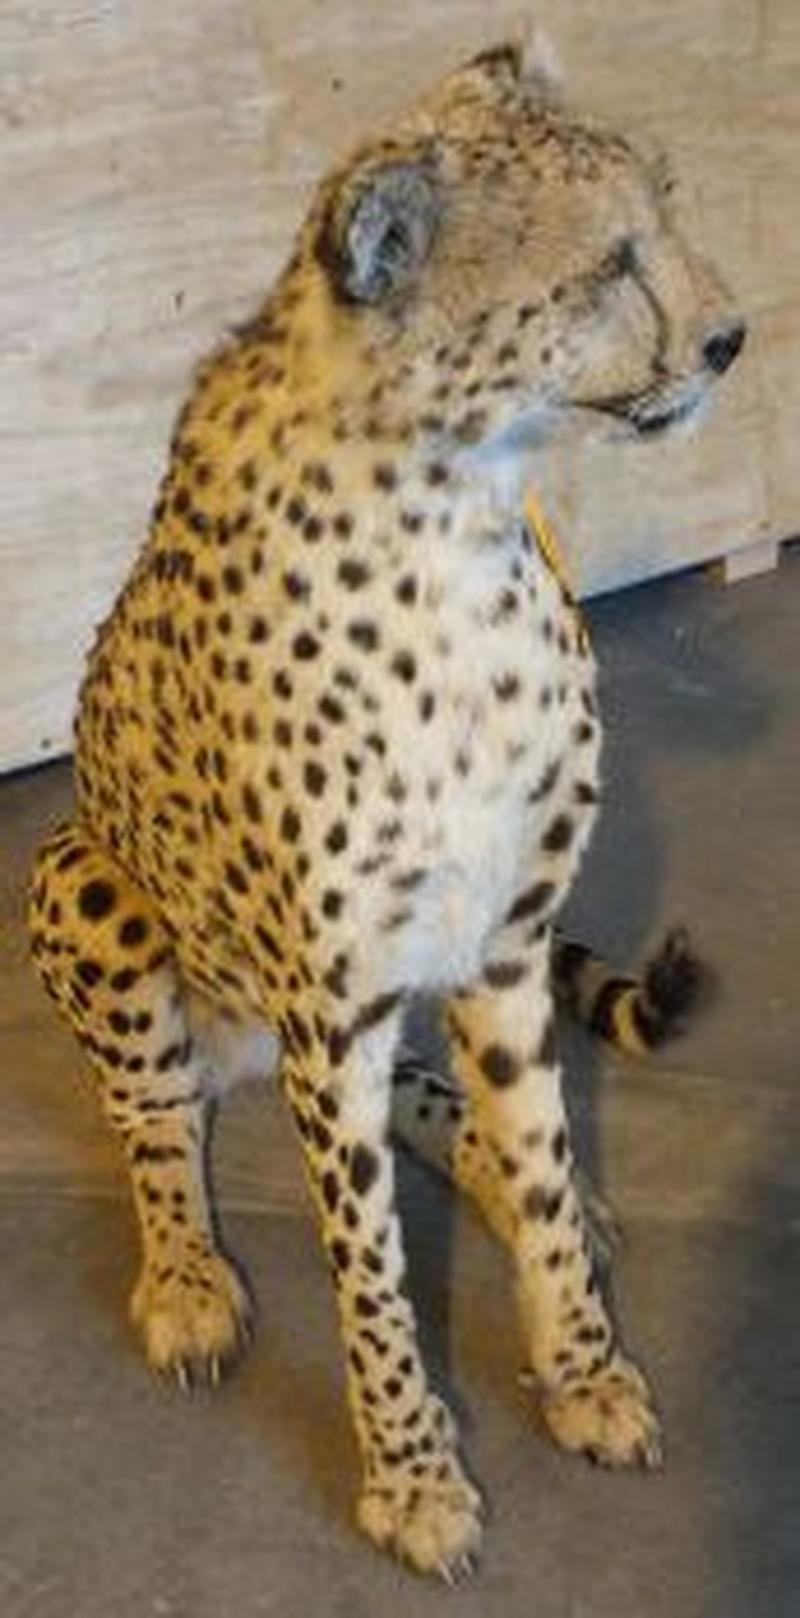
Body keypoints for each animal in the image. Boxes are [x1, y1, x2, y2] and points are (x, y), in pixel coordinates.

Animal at [28, 36, 744, 1580]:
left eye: (665, 207)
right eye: (607, 264)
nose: (729, 338)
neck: (460, 505)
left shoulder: (504, 942)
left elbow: (535, 1152)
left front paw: (579, 1361)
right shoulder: (332, 1004)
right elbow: (365, 1266)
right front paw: (413, 1478)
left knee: (442, 1100)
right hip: (85, 882)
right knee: (156, 1110)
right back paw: (186, 1270)